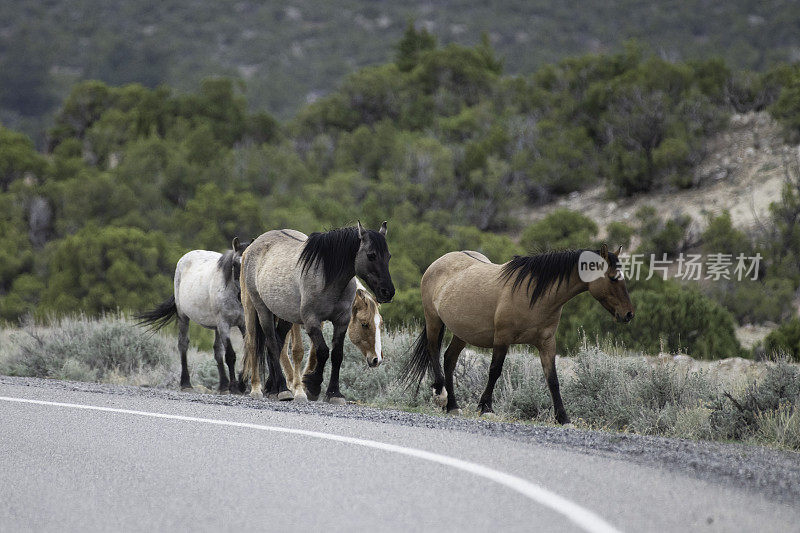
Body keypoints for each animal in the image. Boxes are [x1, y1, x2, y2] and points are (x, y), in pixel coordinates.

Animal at [136, 237, 250, 390]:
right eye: (235, 264)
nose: (242, 294)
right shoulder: (224, 324)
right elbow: (231, 355)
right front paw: (235, 387)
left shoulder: (244, 325)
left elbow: (248, 352)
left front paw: (243, 385)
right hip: (184, 317)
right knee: (183, 345)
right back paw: (186, 383)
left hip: (216, 326)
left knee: (217, 351)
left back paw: (223, 385)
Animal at [242, 222, 396, 402]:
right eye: (371, 255)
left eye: (388, 256)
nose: (388, 292)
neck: (328, 278)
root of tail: (253, 245)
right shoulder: (311, 321)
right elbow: (322, 351)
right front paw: (313, 386)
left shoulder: (341, 322)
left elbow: (337, 355)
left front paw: (334, 393)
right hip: (260, 310)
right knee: (269, 344)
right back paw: (280, 389)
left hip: (284, 316)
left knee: (277, 344)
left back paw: (272, 388)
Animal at [404, 245, 636, 424]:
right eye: (613, 278)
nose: (628, 314)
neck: (535, 294)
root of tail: (438, 262)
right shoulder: (502, 339)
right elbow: (494, 371)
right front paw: (486, 408)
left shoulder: (546, 344)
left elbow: (553, 380)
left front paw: (563, 418)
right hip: (433, 320)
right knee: (433, 352)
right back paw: (441, 395)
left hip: (462, 332)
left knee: (449, 359)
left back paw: (453, 406)